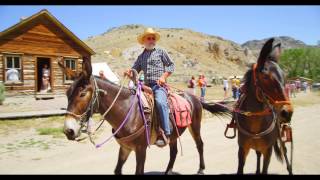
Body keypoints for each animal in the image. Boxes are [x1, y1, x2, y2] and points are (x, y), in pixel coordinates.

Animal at [58, 57, 229, 174]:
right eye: (67, 93)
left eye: (82, 93)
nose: (68, 131)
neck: (128, 111)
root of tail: (195, 98)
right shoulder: (125, 148)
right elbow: (117, 170)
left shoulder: (141, 149)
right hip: (174, 134)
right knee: (173, 151)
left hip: (195, 126)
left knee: (200, 145)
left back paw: (201, 169)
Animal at [232, 38, 292, 174]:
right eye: (265, 77)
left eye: (284, 76)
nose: (287, 112)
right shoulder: (242, 149)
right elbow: (240, 168)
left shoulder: (268, 151)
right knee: (258, 154)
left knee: (285, 152)